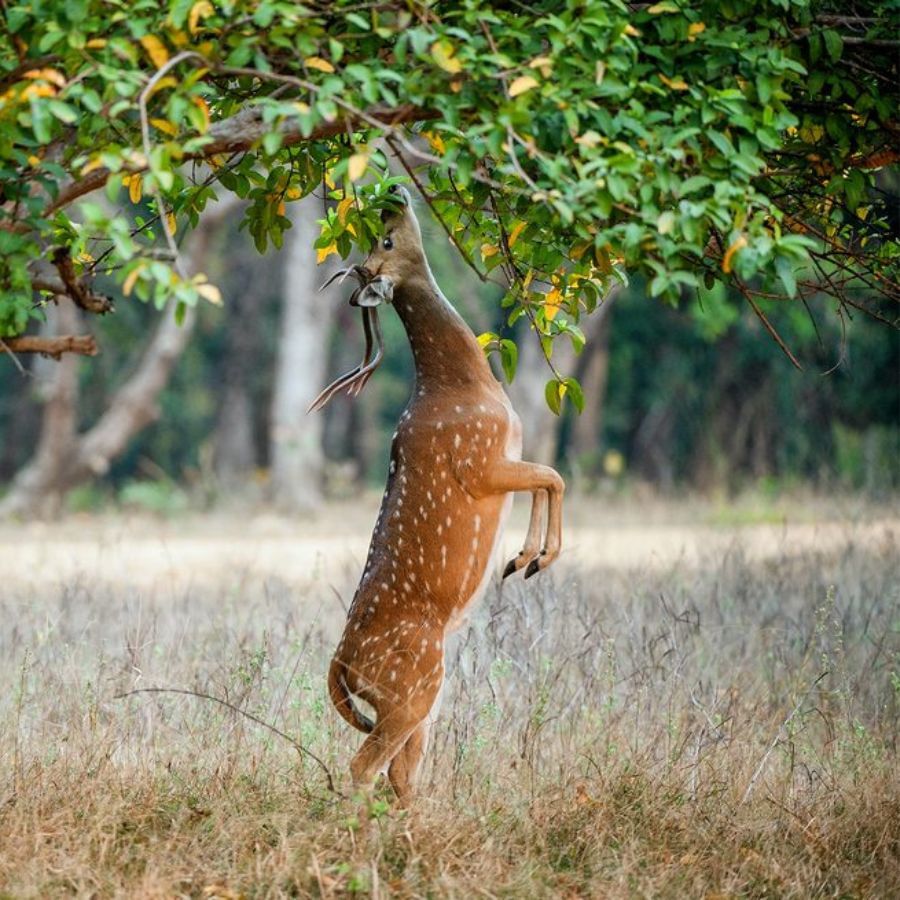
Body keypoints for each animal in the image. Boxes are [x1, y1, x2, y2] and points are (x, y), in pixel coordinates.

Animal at [312, 186, 564, 804]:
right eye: (386, 240)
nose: (392, 193)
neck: (465, 385)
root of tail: (341, 665)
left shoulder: (503, 456)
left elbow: (547, 476)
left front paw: (521, 558)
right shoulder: (478, 461)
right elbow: (553, 474)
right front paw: (534, 558)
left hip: (416, 701)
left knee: (400, 775)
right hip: (413, 686)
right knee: (363, 768)